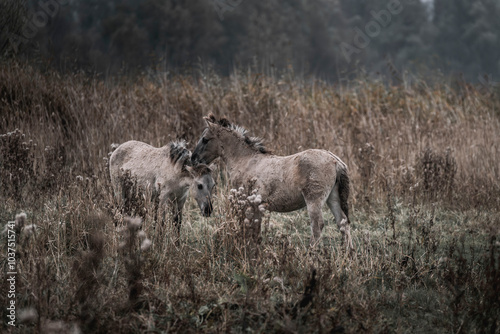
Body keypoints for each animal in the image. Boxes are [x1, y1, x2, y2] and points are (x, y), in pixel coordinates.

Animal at [189, 115, 354, 250]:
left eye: (205, 139)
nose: (193, 159)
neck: (245, 160)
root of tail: (335, 160)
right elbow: (255, 229)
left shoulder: (249, 203)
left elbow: (251, 228)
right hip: (333, 198)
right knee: (343, 222)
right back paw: (348, 255)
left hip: (314, 199)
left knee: (317, 226)